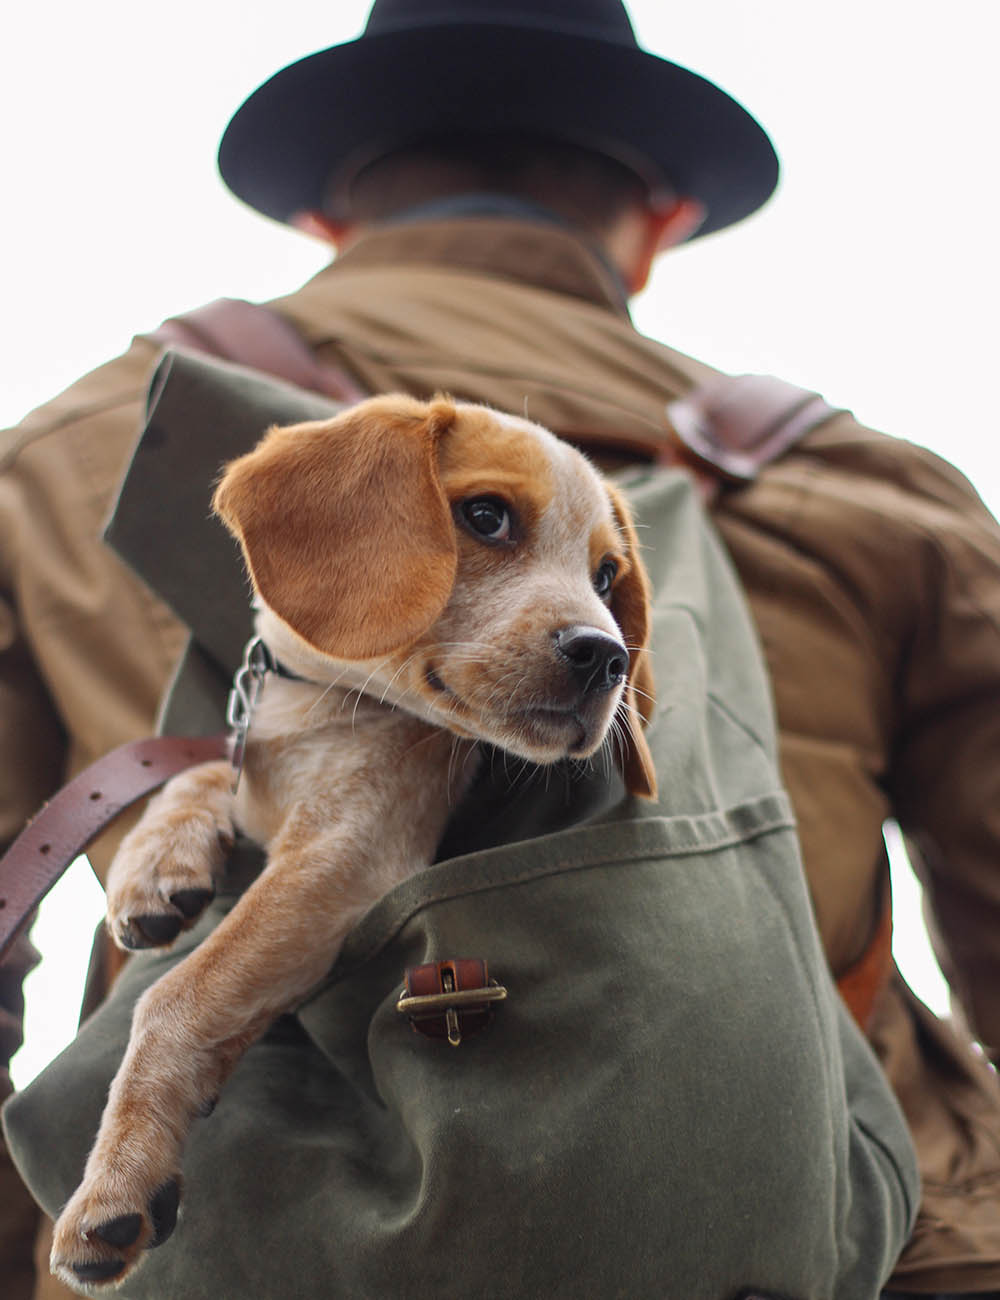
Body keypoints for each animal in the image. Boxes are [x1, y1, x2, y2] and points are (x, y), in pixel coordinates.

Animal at [50, 390, 655, 1284]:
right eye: (485, 516)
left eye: (607, 577)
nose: (607, 657)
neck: (315, 709)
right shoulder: (265, 790)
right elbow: (202, 772)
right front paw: (155, 863)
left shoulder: (343, 857)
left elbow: (176, 999)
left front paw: (118, 1175)